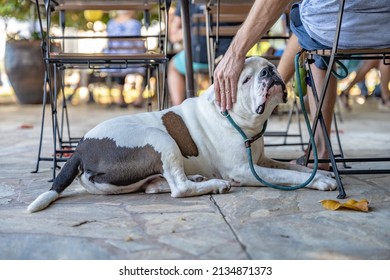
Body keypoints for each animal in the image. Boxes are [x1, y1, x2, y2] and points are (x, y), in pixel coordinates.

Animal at [27, 58, 336, 213]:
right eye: (246, 79)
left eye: (269, 65)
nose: (268, 71)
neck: (238, 120)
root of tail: (79, 150)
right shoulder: (244, 170)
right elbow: (288, 176)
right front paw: (321, 181)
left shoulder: (262, 160)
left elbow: (293, 168)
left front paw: (320, 172)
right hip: (161, 139)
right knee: (179, 188)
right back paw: (213, 185)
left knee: (155, 186)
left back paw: (196, 179)